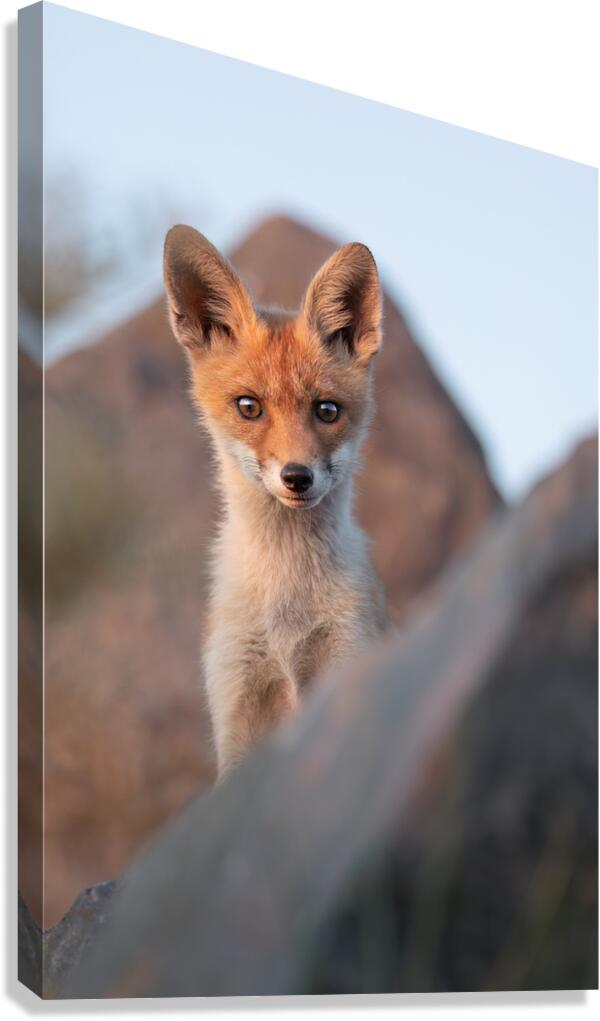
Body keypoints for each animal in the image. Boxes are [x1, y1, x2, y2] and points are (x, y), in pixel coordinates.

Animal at [163, 225, 388, 777]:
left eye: (327, 410)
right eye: (249, 407)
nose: (297, 477)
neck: (288, 617)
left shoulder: (347, 667)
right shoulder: (237, 704)